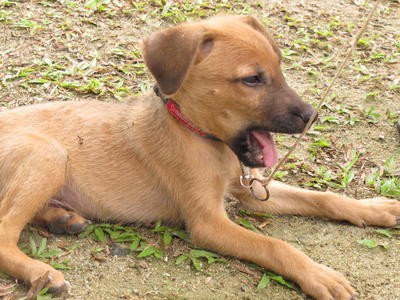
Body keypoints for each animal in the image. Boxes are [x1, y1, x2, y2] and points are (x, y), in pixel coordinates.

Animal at [0, 15, 400, 298]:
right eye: (252, 79)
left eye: (280, 68)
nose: (310, 115)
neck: (197, 135)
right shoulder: (208, 224)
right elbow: (275, 246)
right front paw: (318, 275)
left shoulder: (252, 190)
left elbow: (323, 198)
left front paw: (375, 209)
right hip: (48, 153)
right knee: (5, 231)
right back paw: (41, 272)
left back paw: (62, 218)